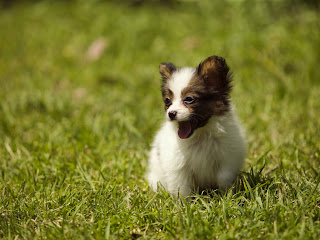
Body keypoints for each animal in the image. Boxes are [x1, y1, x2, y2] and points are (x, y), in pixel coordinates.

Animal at [146, 55, 246, 197]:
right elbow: (182, 189)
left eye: (189, 99)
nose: (171, 113)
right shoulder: (178, 167)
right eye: (167, 101)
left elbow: (224, 178)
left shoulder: (227, 158)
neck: (200, 135)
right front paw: (184, 203)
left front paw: (227, 196)